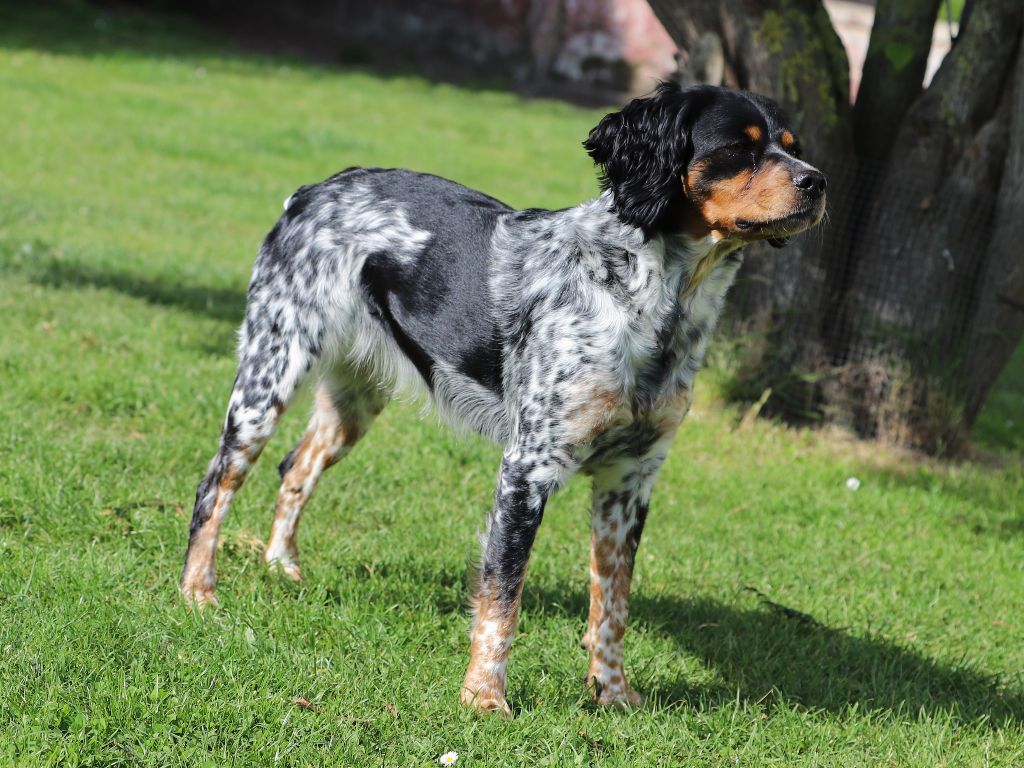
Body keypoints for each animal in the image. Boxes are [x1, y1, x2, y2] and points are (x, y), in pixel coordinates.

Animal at [182, 82, 823, 716]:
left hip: (353, 400)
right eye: (738, 148)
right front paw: (484, 697)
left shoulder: (630, 479)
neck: (652, 303)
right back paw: (197, 595)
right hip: (270, 374)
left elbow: (612, 603)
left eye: (792, 146)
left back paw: (282, 566)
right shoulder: (527, 470)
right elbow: (502, 597)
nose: (817, 182)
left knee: (297, 466)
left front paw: (613, 694)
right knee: (214, 485)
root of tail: (312, 191)